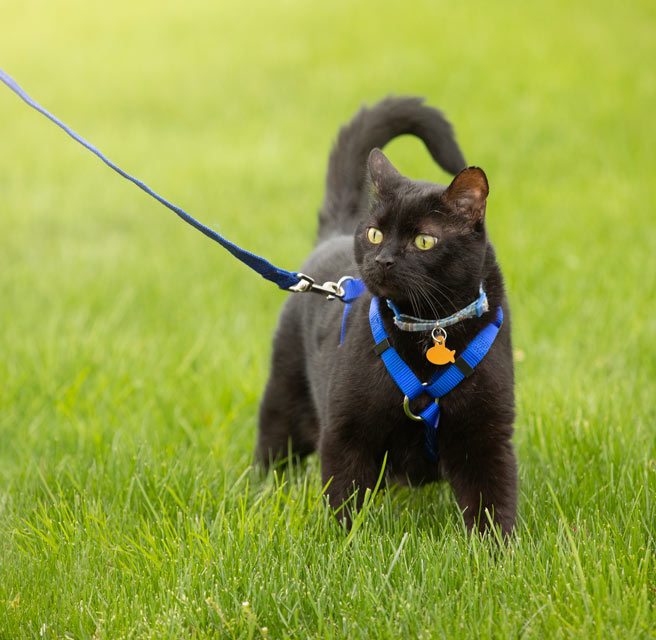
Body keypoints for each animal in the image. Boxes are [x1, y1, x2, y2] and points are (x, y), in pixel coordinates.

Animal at [256, 97, 516, 536]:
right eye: (375, 234)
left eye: (425, 241)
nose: (382, 260)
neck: (429, 327)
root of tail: (334, 234)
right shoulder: (347, 432)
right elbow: (343, 499)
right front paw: (343, 544)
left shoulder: (487, 432)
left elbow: (493, 502)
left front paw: (497, 550)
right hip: (284, 396)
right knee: (272, 449)